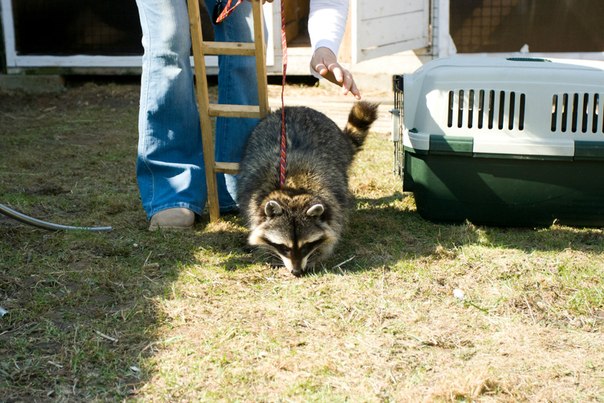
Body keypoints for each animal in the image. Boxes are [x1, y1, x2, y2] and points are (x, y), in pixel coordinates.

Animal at [236, 102, 378, 276]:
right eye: (284, 247)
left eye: (306, 246)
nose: (297, 272)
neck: (292, 190)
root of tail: (296, 107)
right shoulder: (251, 195)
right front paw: (268, 252)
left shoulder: (335, 194)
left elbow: (333, 228)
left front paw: (318, 255)